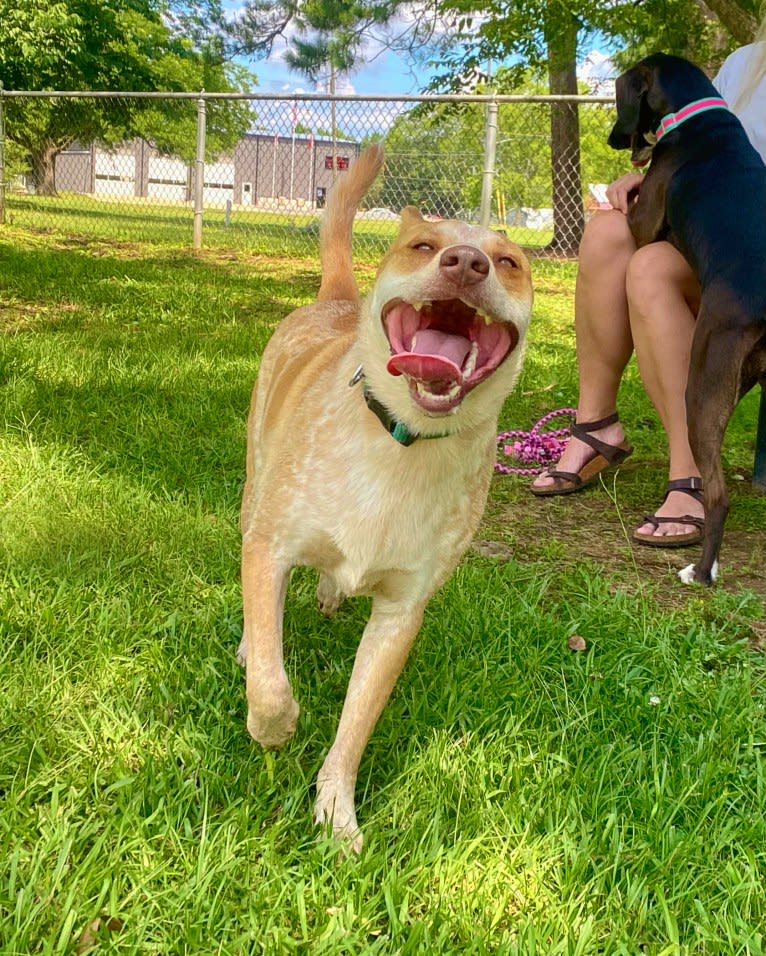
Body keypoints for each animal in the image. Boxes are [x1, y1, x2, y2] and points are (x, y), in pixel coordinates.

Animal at [240, 144, 536, 852]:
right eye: (423, 246)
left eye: (510, 263)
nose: (468, 262)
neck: (402, 443)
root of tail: (338, 301)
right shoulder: (269, 546)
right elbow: (271, 677)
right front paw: (274, 725)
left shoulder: (402, 613)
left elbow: (355, 724)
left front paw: (336, 813)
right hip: (253, 486)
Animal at [608, 56, 764, 588]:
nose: (612, 140)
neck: (700, 118)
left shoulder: (642, 222)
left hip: (703, 383)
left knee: (719, 496)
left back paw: (701, 570)